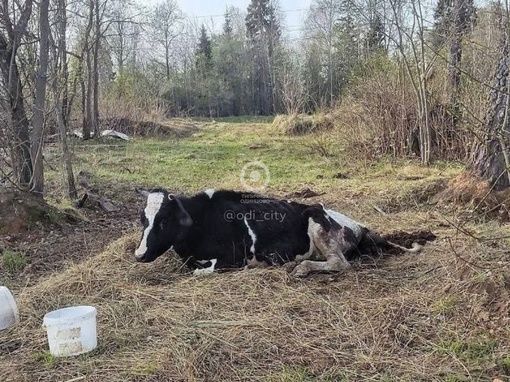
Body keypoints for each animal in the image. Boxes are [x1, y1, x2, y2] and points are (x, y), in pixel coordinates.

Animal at [134, 189, 422, 276]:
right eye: (143, 220)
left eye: (163, 221)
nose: (139, 255)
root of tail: (359, 225)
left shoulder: (234, 258)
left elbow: (201, 271)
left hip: (318, 222)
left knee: (339, 263)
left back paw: (301, 268)